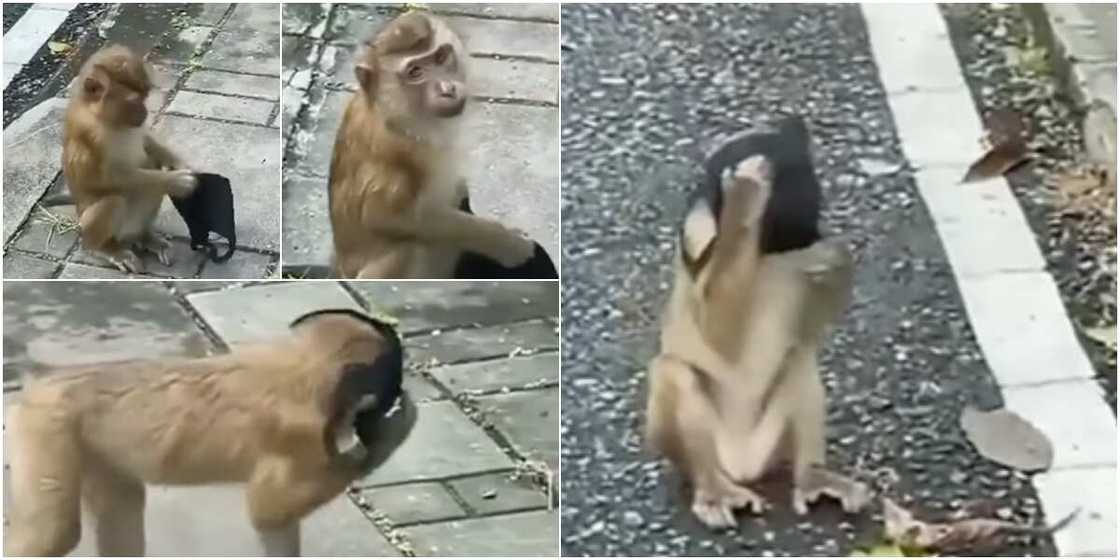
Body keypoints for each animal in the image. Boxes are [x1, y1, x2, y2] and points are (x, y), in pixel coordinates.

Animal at [3, 309, 417, 557]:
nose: (390, 399)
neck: (306, 369)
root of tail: (42, 382)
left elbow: (274, 524)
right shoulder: (305, 436)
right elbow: (268, 510)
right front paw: (392, 431)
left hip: (85, 445)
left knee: (122, 501)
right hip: (46, 428)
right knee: (56, 531)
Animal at [62, 44, 198, 274]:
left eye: (145, 97)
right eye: (133, 101)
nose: (144, 112)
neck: (104, 119)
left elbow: (145, 140)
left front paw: (178, 164)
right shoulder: (90, 135)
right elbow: (106, 178)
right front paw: (176, 181)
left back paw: (144, 237)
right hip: (91, 227)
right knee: (113, 202)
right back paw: (105, 249)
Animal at [327, 11, 535, 279]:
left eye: (441, 57)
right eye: (415, 71)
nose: (448, 89)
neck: (398, 117)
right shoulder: (398, 157)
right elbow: (385, 217)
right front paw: (509, 244)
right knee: (408, 248)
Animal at [645, 117, 872, 530]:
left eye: (811, 203)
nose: (811, 238)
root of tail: (743, 464)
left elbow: (809, 327)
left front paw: (836, 260)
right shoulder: (700, 233)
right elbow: (717, 329)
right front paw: (745, 197)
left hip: (771, 444)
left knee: (800, 359)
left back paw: (810, 474)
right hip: (717, 447)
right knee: (673, 371)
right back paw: (712, 487)